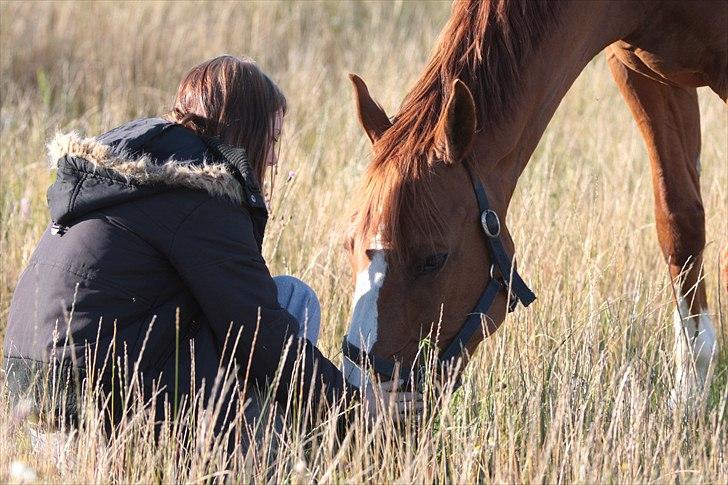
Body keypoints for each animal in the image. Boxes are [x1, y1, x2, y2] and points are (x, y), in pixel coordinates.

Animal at [344, 0, 724, 400]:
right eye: (348, 245)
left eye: (433, 259)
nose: (361, 391)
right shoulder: (643, 75)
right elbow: (678, 221)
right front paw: (690, 394)